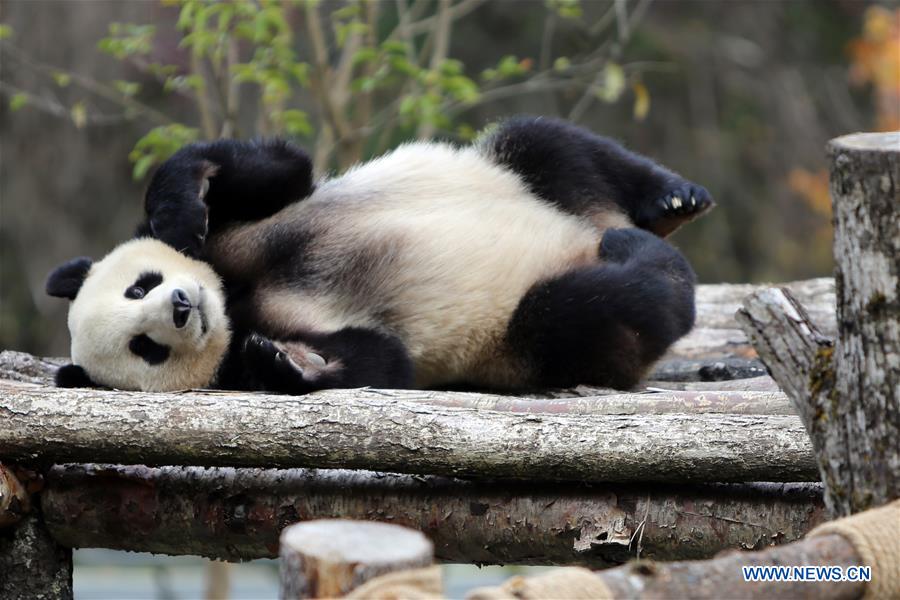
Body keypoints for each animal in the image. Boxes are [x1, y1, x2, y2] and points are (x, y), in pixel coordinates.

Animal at [46, 116, 712, 394]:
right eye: (146, 347)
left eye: (140, 285)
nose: (184, 306)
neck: (233, 297)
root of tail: (592, 228)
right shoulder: (258, 340)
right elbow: (382, 361)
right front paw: (286, 364)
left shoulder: (241, 227)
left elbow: (271, 169)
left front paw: (180, 211)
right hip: (521, 338)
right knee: (584, 312)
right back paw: (643, 255)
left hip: (524, 175)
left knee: (546, 143)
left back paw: (670, 203)